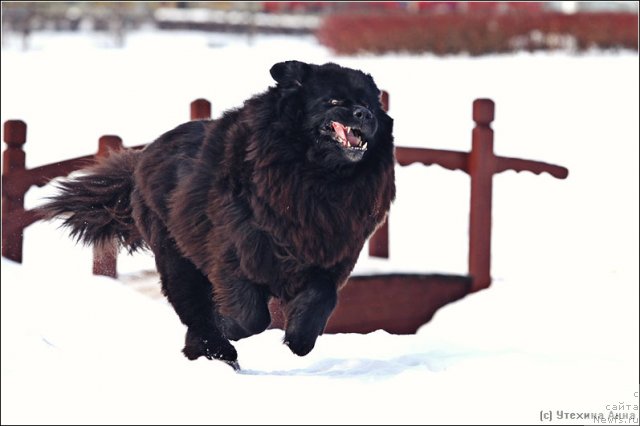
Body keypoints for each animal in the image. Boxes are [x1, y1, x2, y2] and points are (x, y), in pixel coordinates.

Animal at [40, 60, 396, 370]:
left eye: (369, 104)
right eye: (334, 100)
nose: (364, 113)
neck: (314, 179)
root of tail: (143, 157)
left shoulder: (330, 253)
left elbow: (321, 298)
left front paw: (299, 338)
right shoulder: (235, 250)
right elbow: (251, 315)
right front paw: (230, 327)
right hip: (176, 256)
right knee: (194, 306)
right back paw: (216, 351)